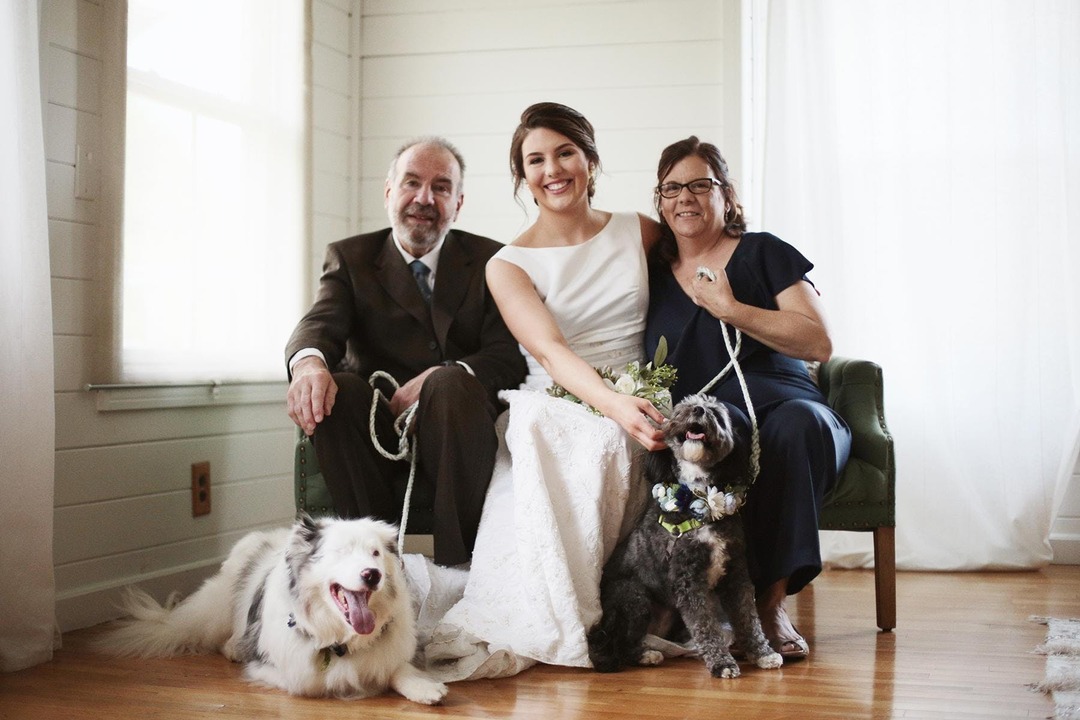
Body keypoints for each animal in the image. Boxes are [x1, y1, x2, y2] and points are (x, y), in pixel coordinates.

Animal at [96, 514, 447, 704]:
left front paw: (425, 688)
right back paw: (233, 647)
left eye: (375, 553)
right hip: (220, 607)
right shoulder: (293, 671)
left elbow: (396, 668)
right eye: (341, 552)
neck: (339, 638)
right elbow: (310, 681)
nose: (372, 575)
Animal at [587, 394, 783, 678]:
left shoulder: (735, 573)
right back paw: (644, 654)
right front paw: (722, 663)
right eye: (683, 408)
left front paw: (762, 653)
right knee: (624, 640)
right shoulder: (689, 581)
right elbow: (705, 625)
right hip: (633, 595)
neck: (700, 498)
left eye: (717, 414)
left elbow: (748, 617)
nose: (699, 410)